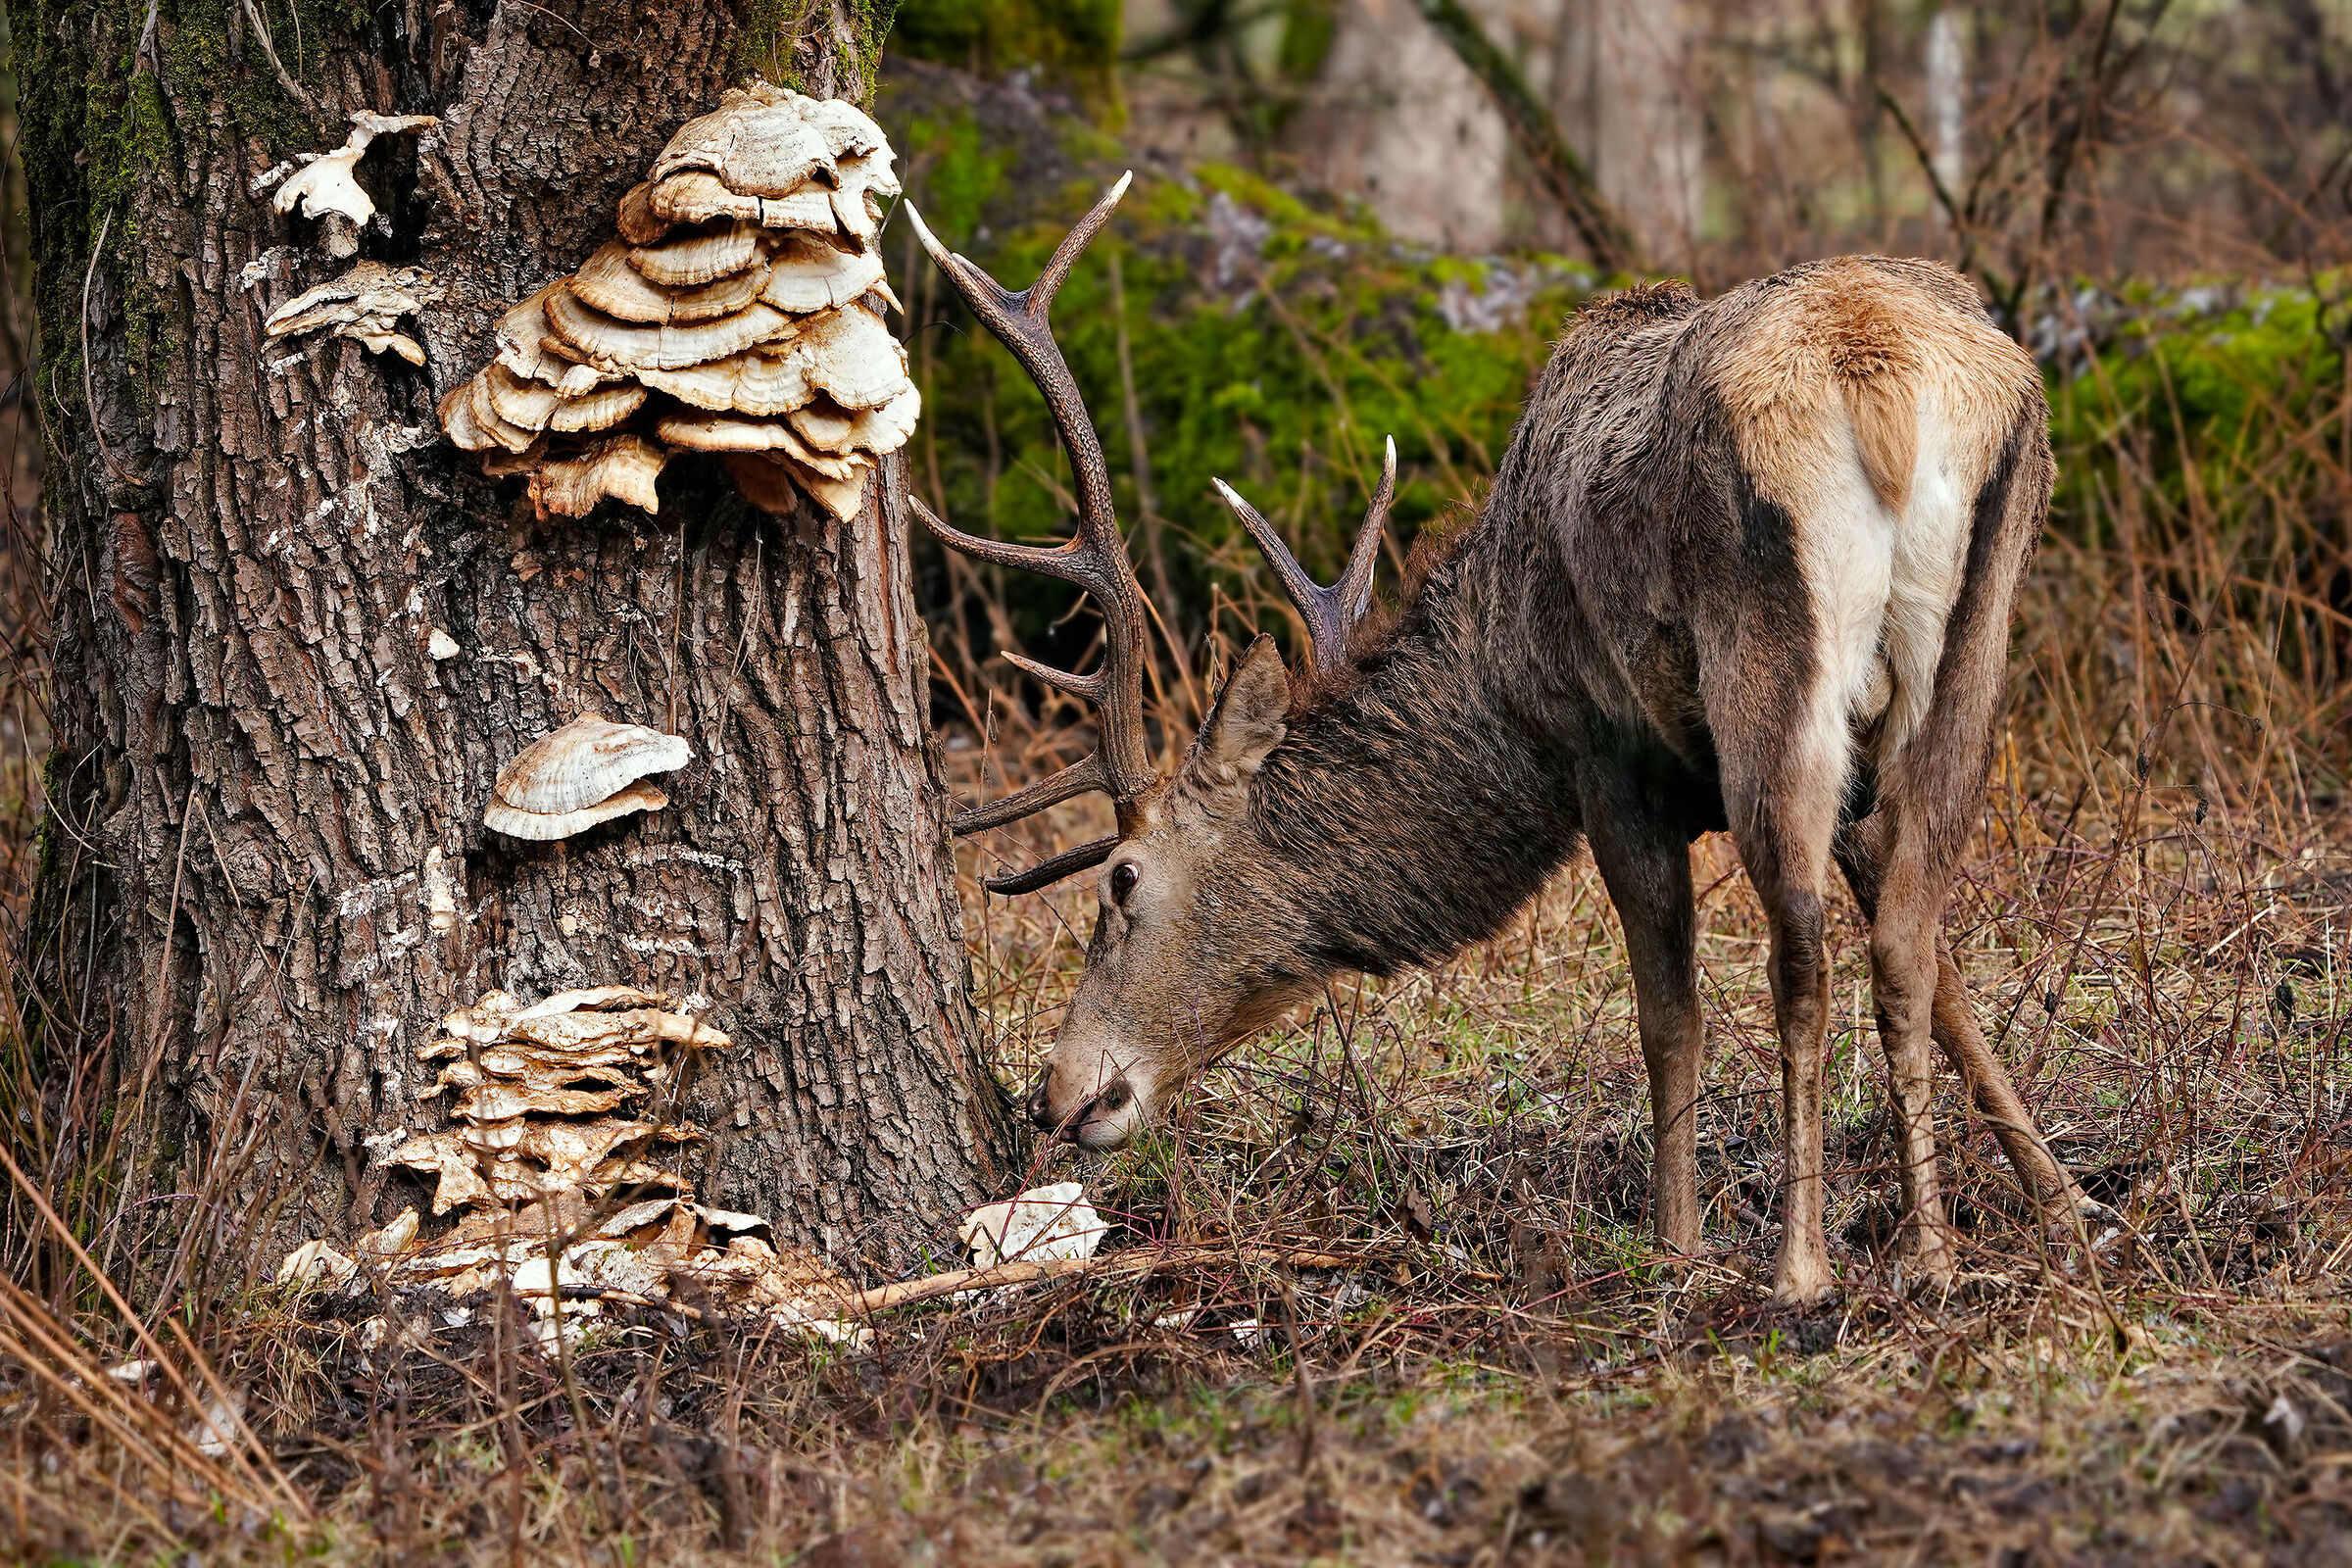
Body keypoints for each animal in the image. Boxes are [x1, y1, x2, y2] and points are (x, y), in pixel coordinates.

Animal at [904, 175, 2102, 1305]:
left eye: (1122, 877)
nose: (1061, 1096)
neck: (1502, 691)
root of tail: (1880, 376)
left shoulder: (1602, 748)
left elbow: (1670, 1012)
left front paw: (1675, 1241)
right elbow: (1943, 977)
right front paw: (2063, 1202)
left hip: (1771, 661)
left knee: (1800, 938)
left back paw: (1799, 1267)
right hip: (1977, 636)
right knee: (1906, 930)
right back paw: (1933, 1256)